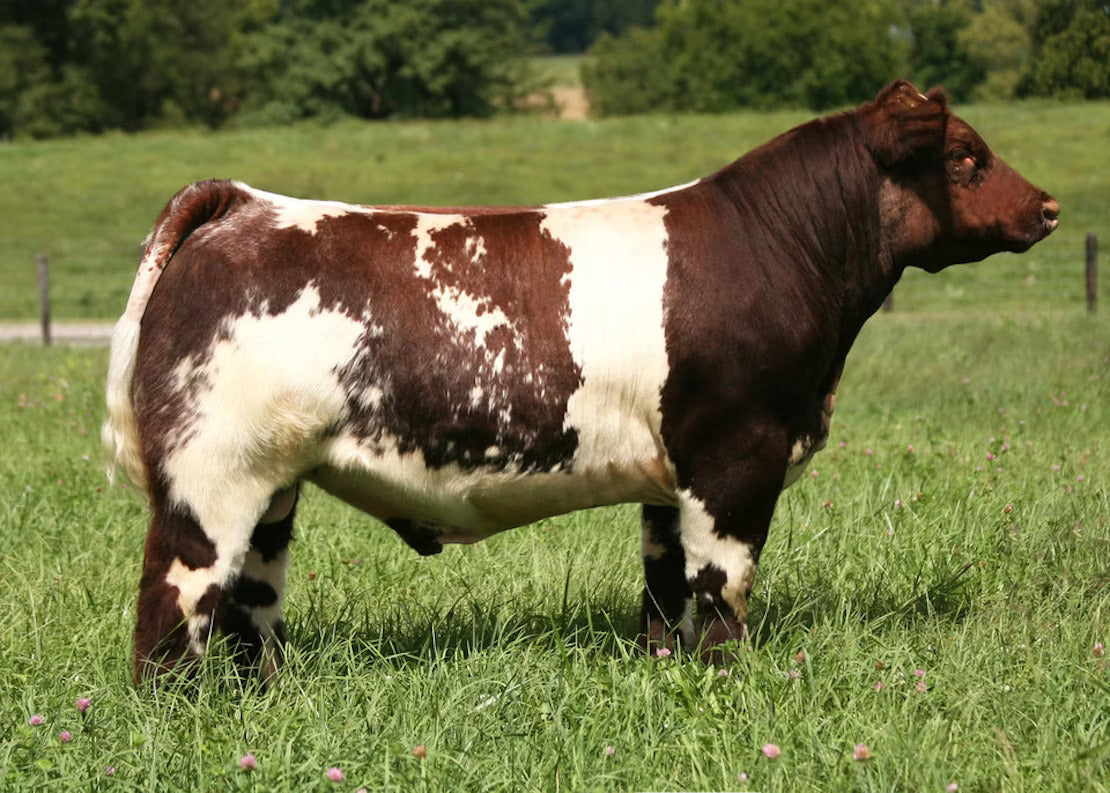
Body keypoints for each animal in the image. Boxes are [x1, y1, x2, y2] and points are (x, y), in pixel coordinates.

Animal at [103, 80, 1058, 684]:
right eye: (966, 157)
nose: (1048, 205)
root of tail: (245, 203)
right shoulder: (736, 457)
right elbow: (723, 589)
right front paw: (729, 681)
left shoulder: (671, 479)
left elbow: (663, 591)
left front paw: (667, 676)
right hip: (211, 476)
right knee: (170, 604)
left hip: (274, 486)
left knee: (250, 606)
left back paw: (262, 696)